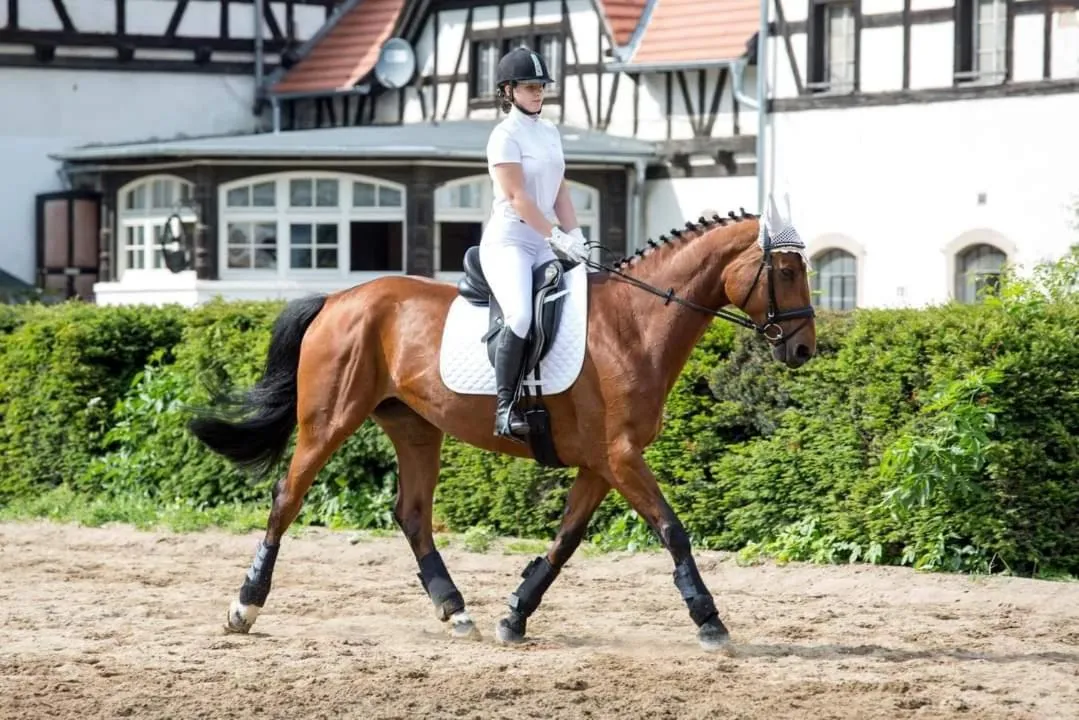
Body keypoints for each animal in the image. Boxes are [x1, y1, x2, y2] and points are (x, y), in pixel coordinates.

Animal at [186, 193, 817, 651]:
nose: (805, 348)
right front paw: (710, 622)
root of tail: (339, 298)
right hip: (329, 421)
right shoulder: (620, 456)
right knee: (287, 498)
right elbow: (672, 529)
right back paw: (244, 606)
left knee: (412, 514)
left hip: (415, 427)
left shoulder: (601, 462)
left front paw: (514, 615)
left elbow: (565, 541)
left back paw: (455, 609)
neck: (635, 324)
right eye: (786, 271)